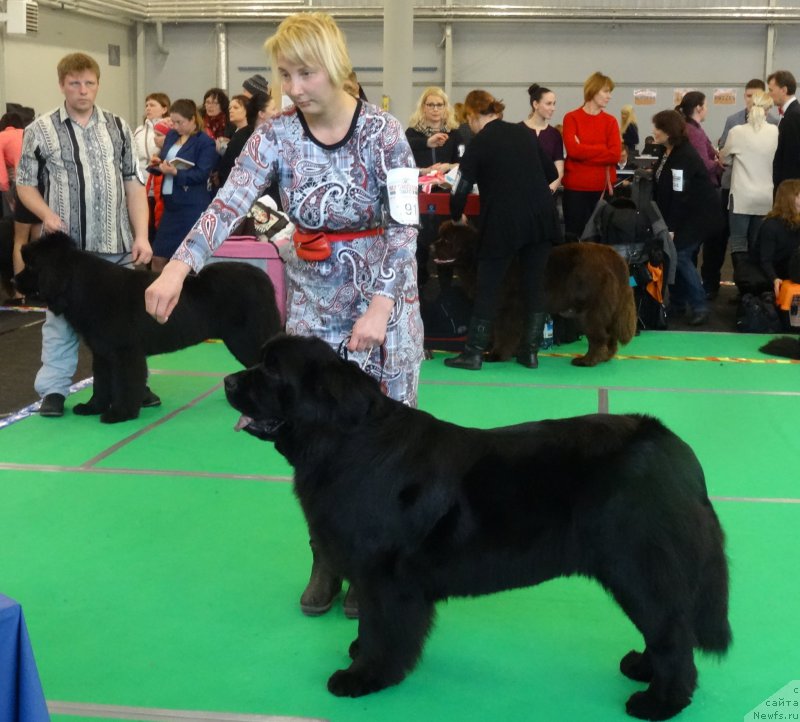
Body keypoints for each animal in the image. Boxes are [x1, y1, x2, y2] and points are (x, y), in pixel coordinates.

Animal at [223, 334, 732, 716]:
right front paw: (360, 657)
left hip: (637, 567)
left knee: (671, 633)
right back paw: (643, 669)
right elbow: (372, 623)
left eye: (271, 371)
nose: (227, 380)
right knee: (665, 629)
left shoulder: (385, 576)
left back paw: (659, 701)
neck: (344, 442)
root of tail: (677, 450)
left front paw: (364, 676)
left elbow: (382, 629)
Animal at [432, 221, 636, 366]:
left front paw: (497, 355)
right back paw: (605, 358)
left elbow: (504, 333)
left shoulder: (507, 308)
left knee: (599, 337)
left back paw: (588, 360)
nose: (431, 247)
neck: (477, 259)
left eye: (447, 241)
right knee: (610, 336)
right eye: (440, 237)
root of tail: (615, 258)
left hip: (589, 310)